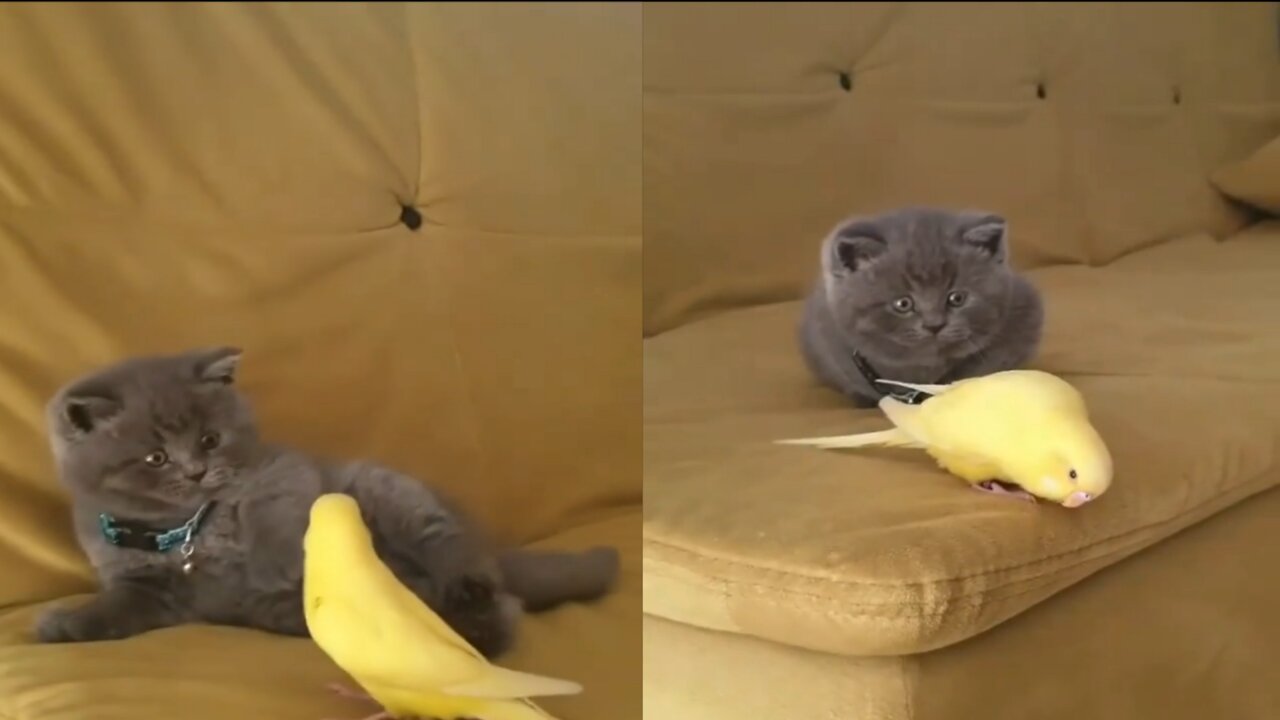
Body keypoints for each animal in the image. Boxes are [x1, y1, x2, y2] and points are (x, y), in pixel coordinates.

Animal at [37, 348, 616, 655]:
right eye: (155, 458)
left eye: (210, 440)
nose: (198, 472)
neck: (187, 531)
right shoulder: (149, 590)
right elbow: (114, 610)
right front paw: (64, 626)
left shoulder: (287, 472)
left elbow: (279, 514)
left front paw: (279, 563)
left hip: (392, 493)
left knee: (466, 563)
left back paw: (472, 602)